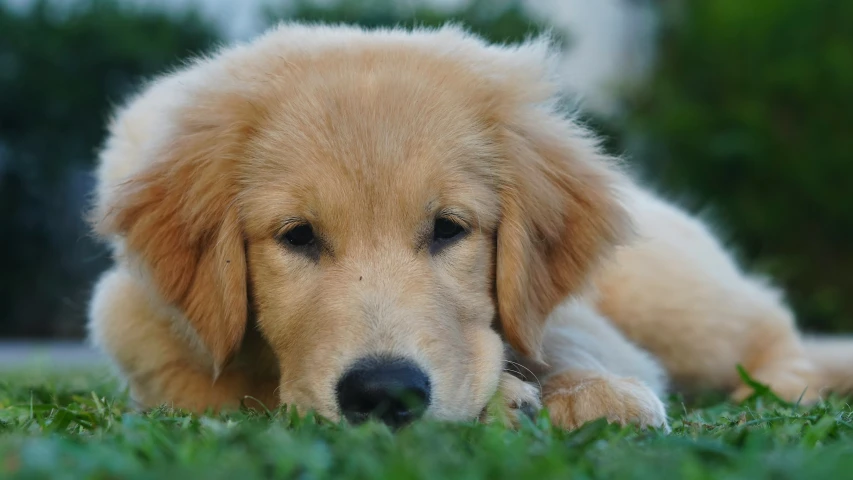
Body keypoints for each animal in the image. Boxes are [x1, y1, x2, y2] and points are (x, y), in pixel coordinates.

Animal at [88, 22, 852, 430]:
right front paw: (508, 400)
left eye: (449, 229)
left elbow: (560, 338)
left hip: (679, 301)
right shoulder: (148, 339)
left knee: (776, 332)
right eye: (297, 235)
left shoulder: (574, 321)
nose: (383, 395)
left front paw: (585, 392)